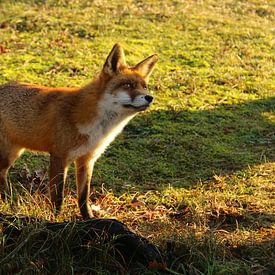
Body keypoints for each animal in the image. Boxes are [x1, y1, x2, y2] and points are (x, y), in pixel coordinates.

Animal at [0, 43, 158, 220]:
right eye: (128, 85)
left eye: (144, 86)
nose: (150, 97)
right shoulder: (59, 156)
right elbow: (58, 196)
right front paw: (56, 219)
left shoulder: (87, 159)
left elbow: (83, 196)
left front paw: (88, 219)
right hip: (7, 155)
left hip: (14, 152)